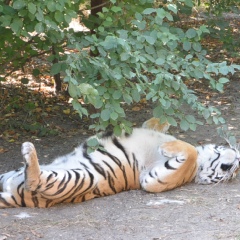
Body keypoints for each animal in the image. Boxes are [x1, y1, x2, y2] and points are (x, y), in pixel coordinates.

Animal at [0, 118, 239, 208]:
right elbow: (156, 126)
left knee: (36, 180)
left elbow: (188, 152)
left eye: (231, 172)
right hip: (5, 175)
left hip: (80, 178)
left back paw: (29, 150)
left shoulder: (152, 181)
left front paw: (167, 147)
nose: (235, 161)